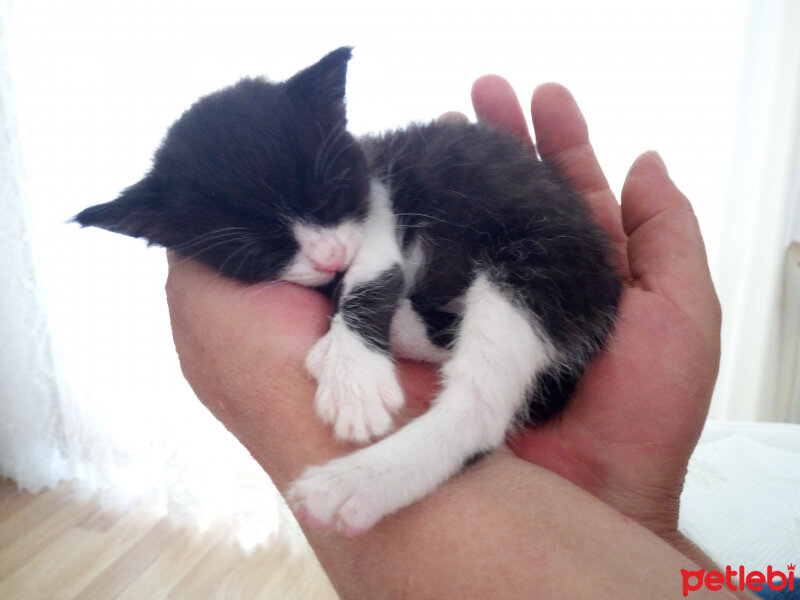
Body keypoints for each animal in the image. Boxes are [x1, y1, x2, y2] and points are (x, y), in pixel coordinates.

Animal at [75, 47, 620, 536]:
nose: (330, 255)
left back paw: (352, 485)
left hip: (538, 263)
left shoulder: (376, 203)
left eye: (329, 193)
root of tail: (606, 278)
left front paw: (353, 378)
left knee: (479, 408)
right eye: (258, 245)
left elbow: (370, 276)